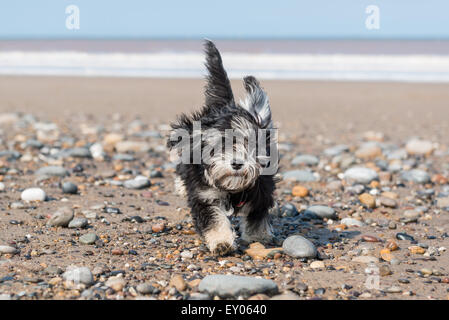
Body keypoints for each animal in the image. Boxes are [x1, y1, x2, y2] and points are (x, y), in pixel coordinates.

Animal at [166, 40, 276, 255]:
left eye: (249, 142)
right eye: (219, 144)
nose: (236, 163)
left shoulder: (262, 190)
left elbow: (257, 215)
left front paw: (258, 236)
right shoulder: (205, 196)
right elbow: (214, 219)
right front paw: (222, 241)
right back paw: (181, 186)